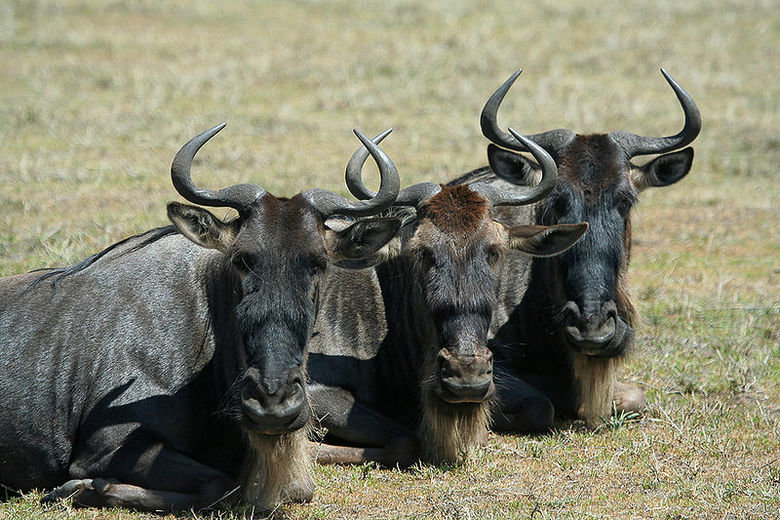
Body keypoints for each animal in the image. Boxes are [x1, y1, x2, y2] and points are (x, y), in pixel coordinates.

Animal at [0, 123, 402, 512]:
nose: (272, 403)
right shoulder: (105, 448)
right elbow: (220, 486)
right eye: (242, 259)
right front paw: (80, 489)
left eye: (319, 263)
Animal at [307, 129, 587, 466]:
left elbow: (539, 407)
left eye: (494, 251)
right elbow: (406, 441)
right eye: (423, 252)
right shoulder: (316, 393)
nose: (467, 374)